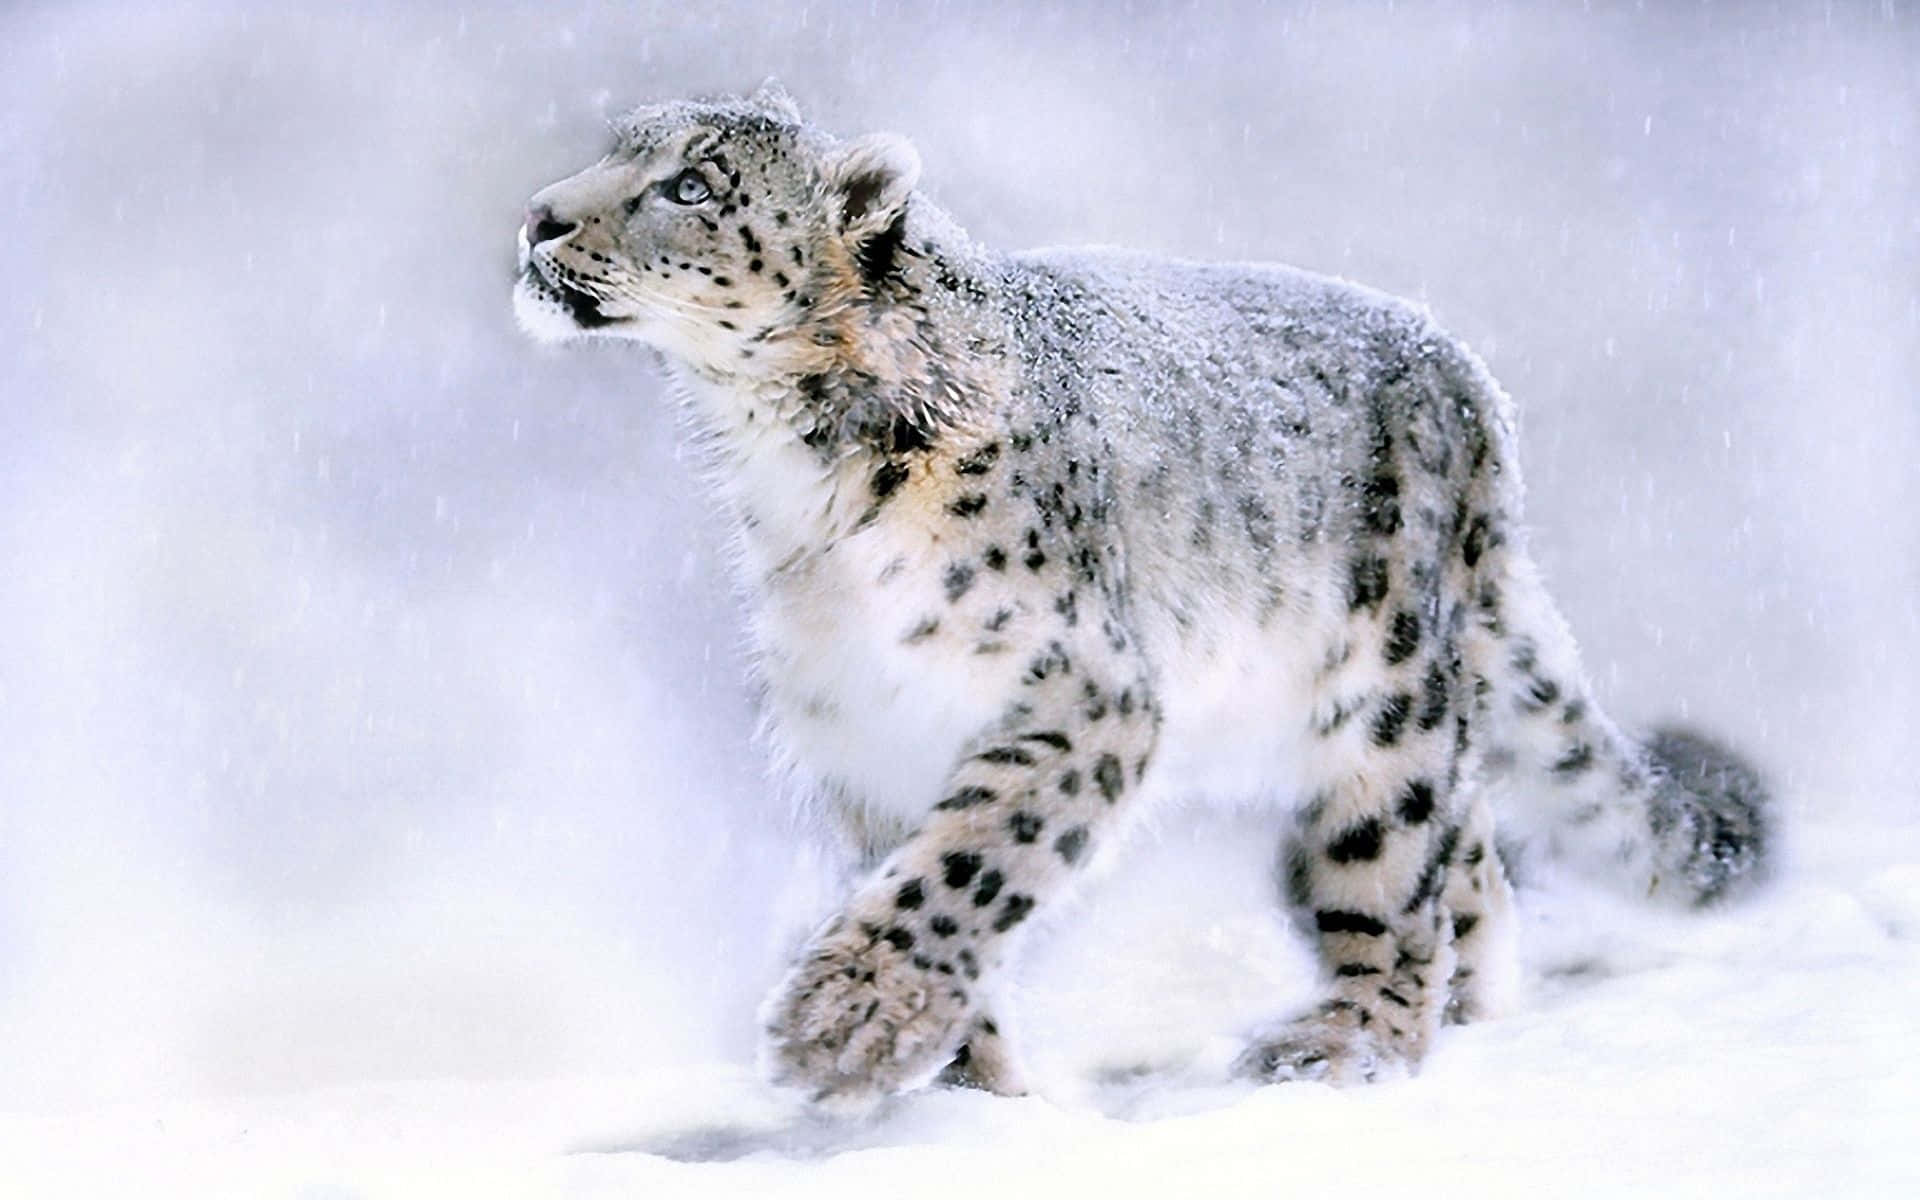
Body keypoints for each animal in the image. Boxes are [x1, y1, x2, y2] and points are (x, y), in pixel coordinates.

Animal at [512, 84, 1770, 1110]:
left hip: (1385, 692)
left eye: (689, 185)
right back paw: (1470, 1008)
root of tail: (1470, 386)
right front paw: (962, 1084)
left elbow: (968, 864)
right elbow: (912, 869)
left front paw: (844, 1029)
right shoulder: (863, 724)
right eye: (612, 151)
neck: (793, 480)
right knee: (1474, 861)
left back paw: (1350, 1039)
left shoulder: (1081, 689)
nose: (537, 217)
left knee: (1394, 869)